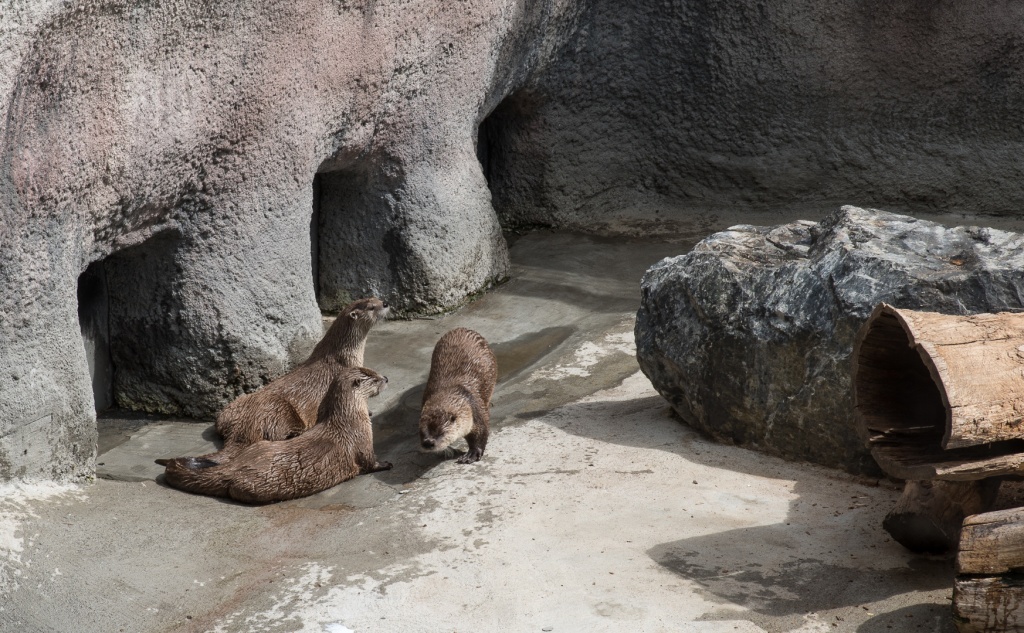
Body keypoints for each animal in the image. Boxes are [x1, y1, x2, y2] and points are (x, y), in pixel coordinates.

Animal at [155, 364, 391, 501]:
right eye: (374, 378)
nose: (387, 378)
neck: (349, 418)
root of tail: (233, 468)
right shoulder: (362, 442)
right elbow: (369, 462)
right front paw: (386, 464)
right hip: (256, 485)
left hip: (260, 444)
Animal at [217, 294, 391, 444]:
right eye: (371, 307)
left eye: (376, 298)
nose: (385, 303)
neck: (343, 354)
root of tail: (242, 425)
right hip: (279, 410)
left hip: (229, 409)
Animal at [415, 327, 495, 460]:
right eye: (421, 432)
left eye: (441, 433)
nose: (428, 443)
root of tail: (462, 328)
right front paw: (449, 451)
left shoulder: (475, 408)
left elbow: (481, 431)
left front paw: (472, 453)